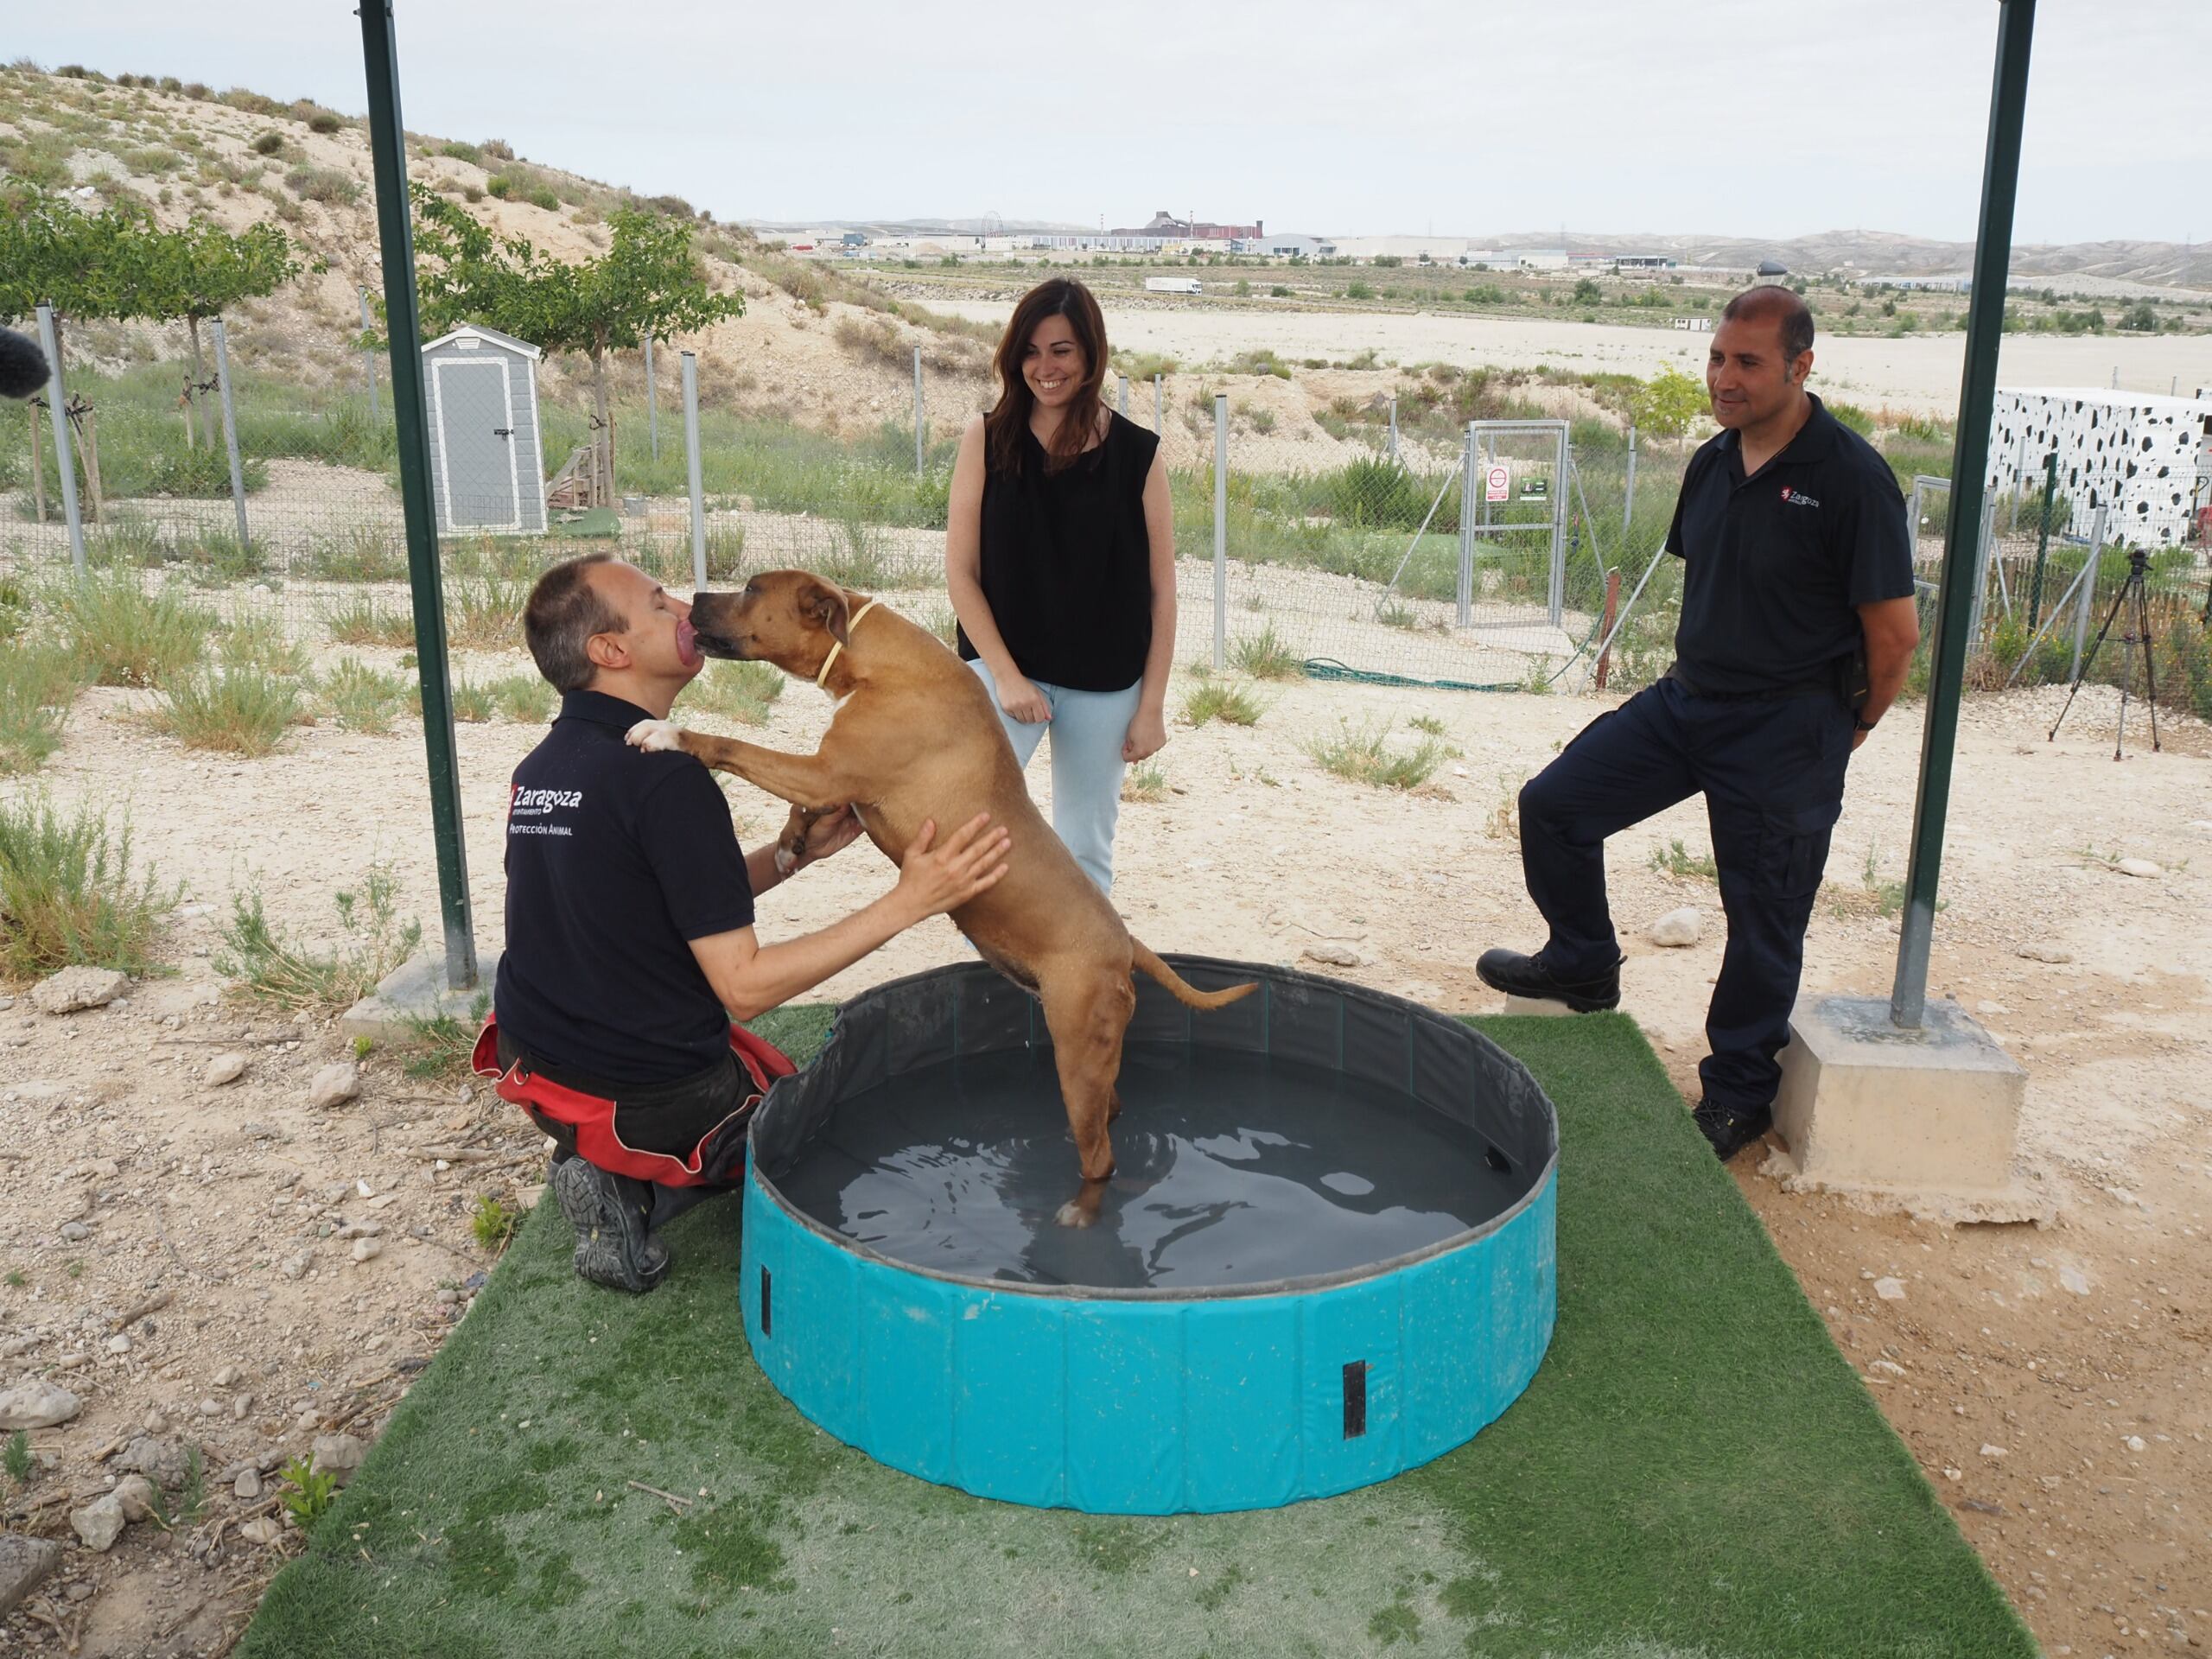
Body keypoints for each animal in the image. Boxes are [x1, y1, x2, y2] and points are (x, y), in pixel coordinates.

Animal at [623, 579, 1256, 1230]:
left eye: (751, 589)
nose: (695, 596)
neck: (876, 664)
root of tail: (1125, 943)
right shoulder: (830, 780)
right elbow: (803, 805)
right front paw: (793, 840)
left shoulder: (825, 771)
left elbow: (735, 744)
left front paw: (667, 734)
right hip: (1096, 1058)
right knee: (1112, 1111)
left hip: (1078, 1055)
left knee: (1099, 1153)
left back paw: (1080, 1211)